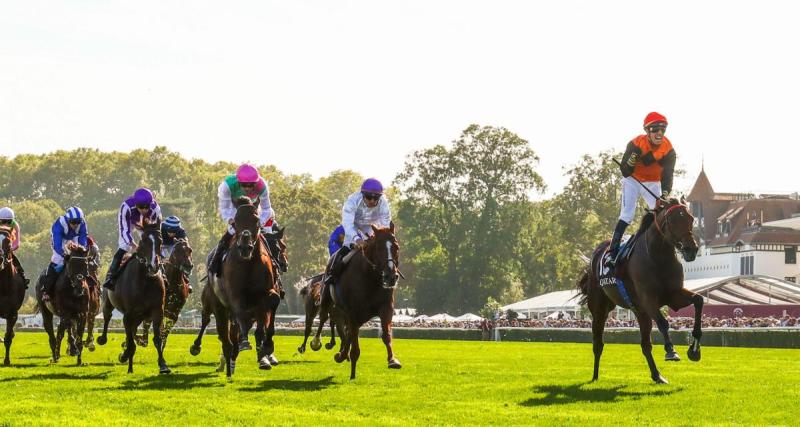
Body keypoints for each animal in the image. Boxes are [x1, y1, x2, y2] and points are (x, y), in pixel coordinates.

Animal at [97, 222, 171, 376]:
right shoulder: (128, 314)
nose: (154, 266)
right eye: (143, 241)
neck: (145, 280)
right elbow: (130, 341)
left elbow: (157, 339)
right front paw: (129, 364)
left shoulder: (157, 311)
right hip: (108, 302)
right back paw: (103, 339)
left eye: (160, 241)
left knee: (132, 330)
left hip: (140, 316)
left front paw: (163, 365)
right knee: (107, 317)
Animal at [205, 197, 280, 378]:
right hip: (218, 304)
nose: (245, 247)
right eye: (235, 222)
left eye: (256, 220)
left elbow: (272, 303)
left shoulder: (265, 293)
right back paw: (228, 364)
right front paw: (245, 341)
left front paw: (266, 349)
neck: (248, 263)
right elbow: (241, 313)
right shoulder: (235, 294)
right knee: (226, 335)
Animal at [326, 222, 400, 380]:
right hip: (336, 309)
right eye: (378, 248)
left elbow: (386, 334)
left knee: (348, 333)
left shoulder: (386, 306)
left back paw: (341, 355)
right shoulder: (353, 311)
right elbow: (354, 343)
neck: (369, 277)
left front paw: (392, 360)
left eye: (396, 247)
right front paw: (352, 373)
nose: (391, 276)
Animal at [580, 197, 704, 384]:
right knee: (598, 343)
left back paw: (657, 376)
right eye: (672, 220)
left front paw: (694, 349)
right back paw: (594, 377)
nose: (692, 249)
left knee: (645, 345)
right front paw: (671, 351)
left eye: (691, 218)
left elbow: (698, 300)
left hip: (639, 312)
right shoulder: (648, 301)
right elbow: (663, 323)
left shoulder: (673, 295)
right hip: (600, 308)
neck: (658, 256)